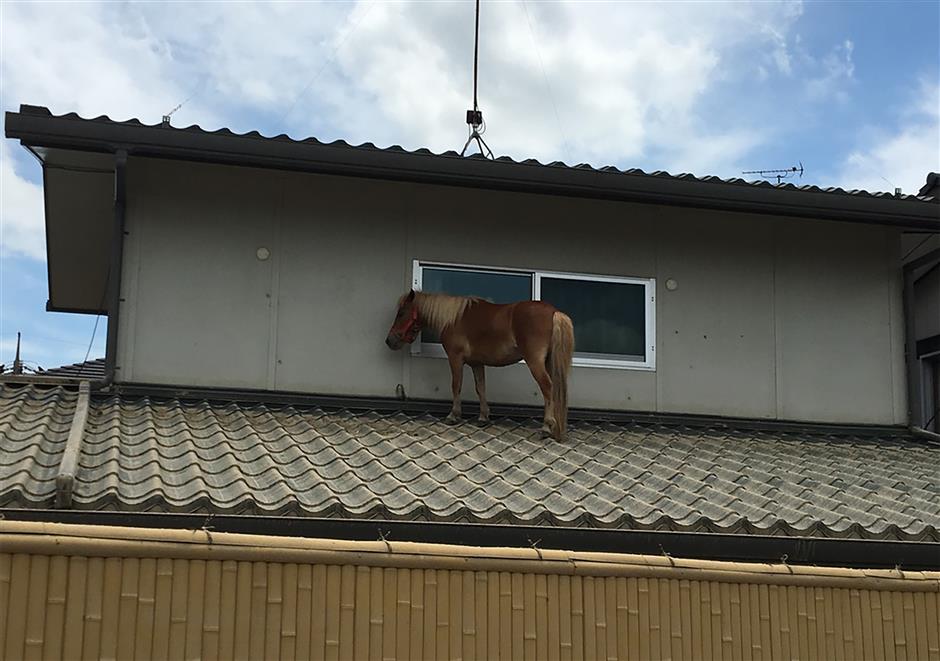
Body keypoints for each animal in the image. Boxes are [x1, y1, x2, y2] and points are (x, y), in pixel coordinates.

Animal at [386, 288, 576, 438]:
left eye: (401, 313)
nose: (390, 341)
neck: (454, 318)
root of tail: (554, 312)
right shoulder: (477, 363)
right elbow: (481, 388)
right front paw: (483, 417)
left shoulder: (455, 358)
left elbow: (456, 385)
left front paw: (453, 415)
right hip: (549, 362)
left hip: (535, 362)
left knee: (548, 388)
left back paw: (546, 427)